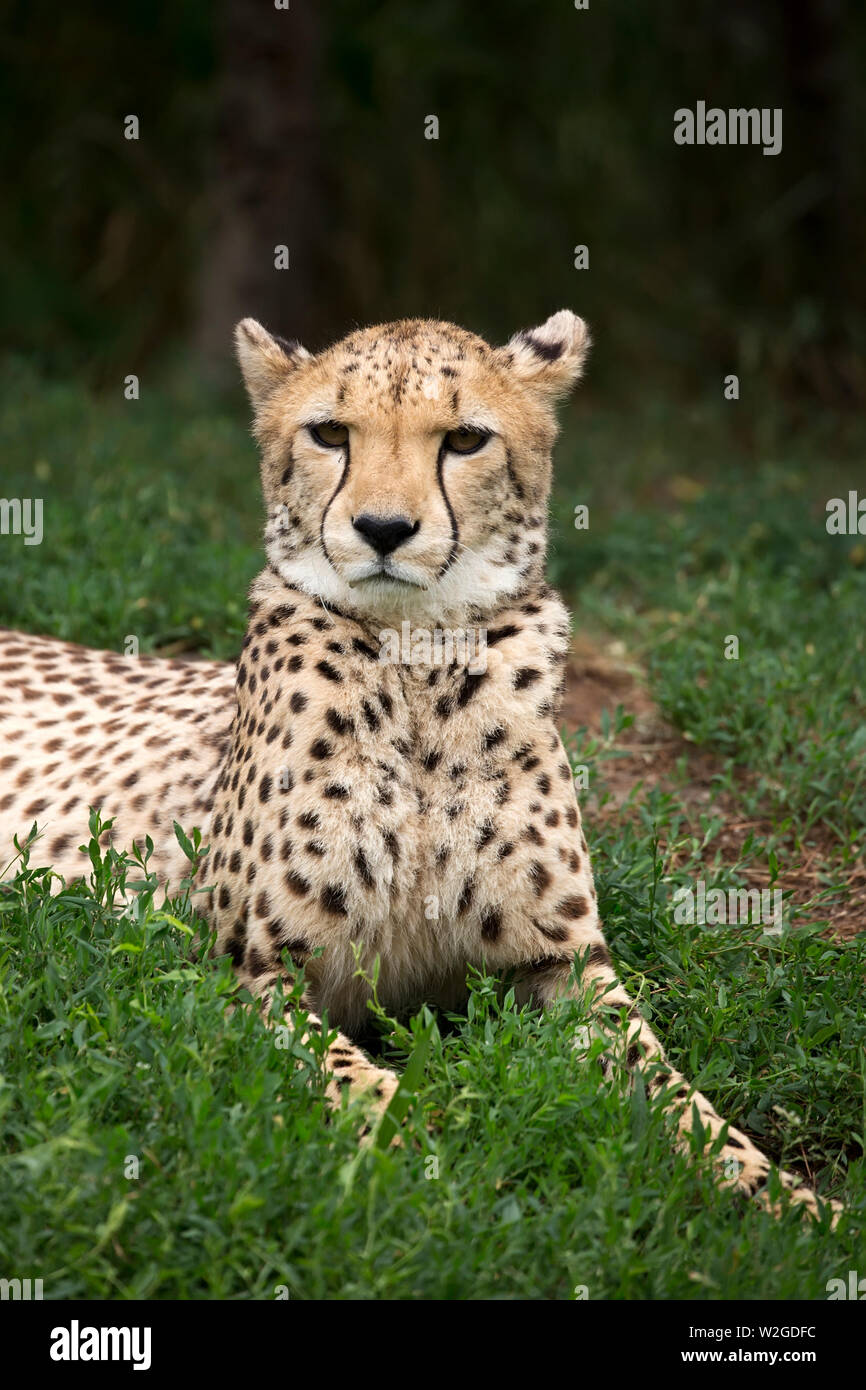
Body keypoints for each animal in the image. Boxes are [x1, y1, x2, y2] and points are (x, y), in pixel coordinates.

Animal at [0, 309, 839, 1223]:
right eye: (330, 433)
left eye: (465, 439)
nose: (383, 530)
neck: (419, 667)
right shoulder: (241, 972)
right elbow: (364, 1087)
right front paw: (455, 1169)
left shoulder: (564, 967)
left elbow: (677, 1094)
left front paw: (791, 1201)